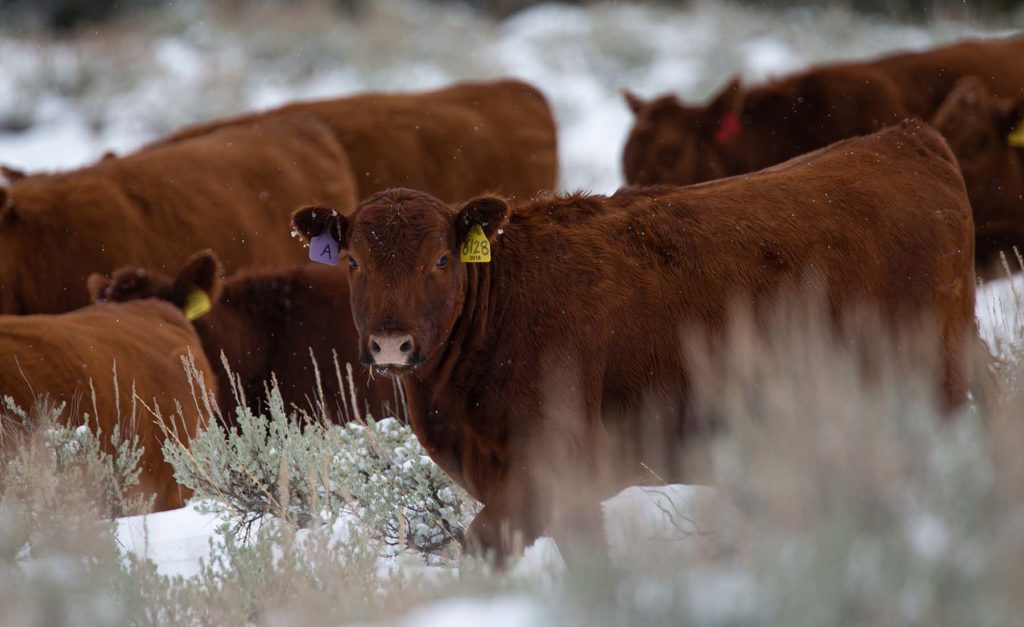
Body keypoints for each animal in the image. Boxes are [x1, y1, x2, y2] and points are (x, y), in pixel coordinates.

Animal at [294, 121, 974, 569]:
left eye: (440, 260)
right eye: (352, 261)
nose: (391, 342)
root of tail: (906, 138)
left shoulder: (551, 469)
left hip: (929, 387)